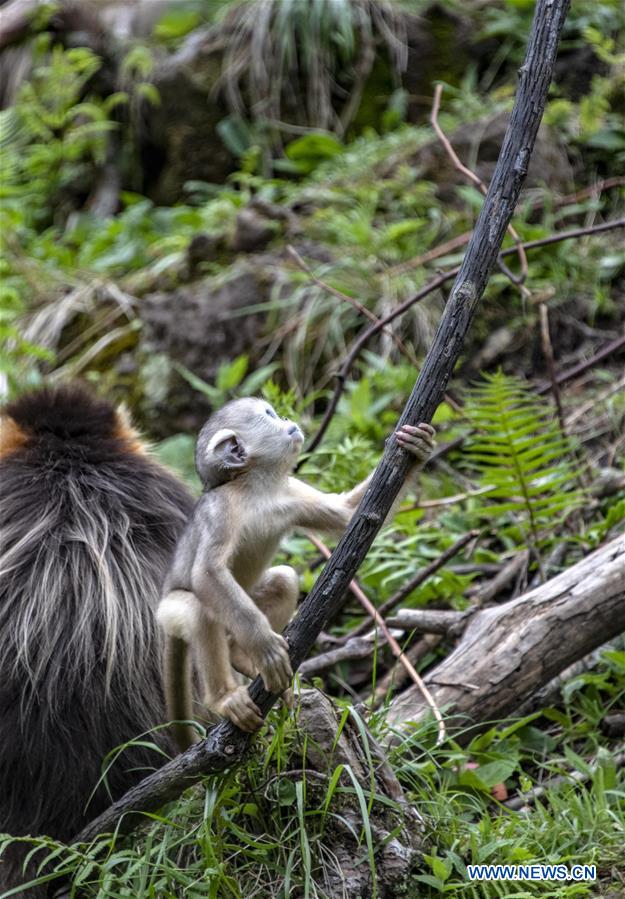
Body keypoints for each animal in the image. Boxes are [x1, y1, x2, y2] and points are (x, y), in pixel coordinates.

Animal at [158, 398, 436, 748]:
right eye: (269, 415)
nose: (288, 419)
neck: (256, 489)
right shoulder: (218, 509)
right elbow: (207, 572)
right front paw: (264, 646)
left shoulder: (289, 492)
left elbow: (348, 514)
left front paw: (418, 448)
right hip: (170, 611)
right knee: (198, 610)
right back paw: (225, 697)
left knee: (283, 580)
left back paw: (240, 657)